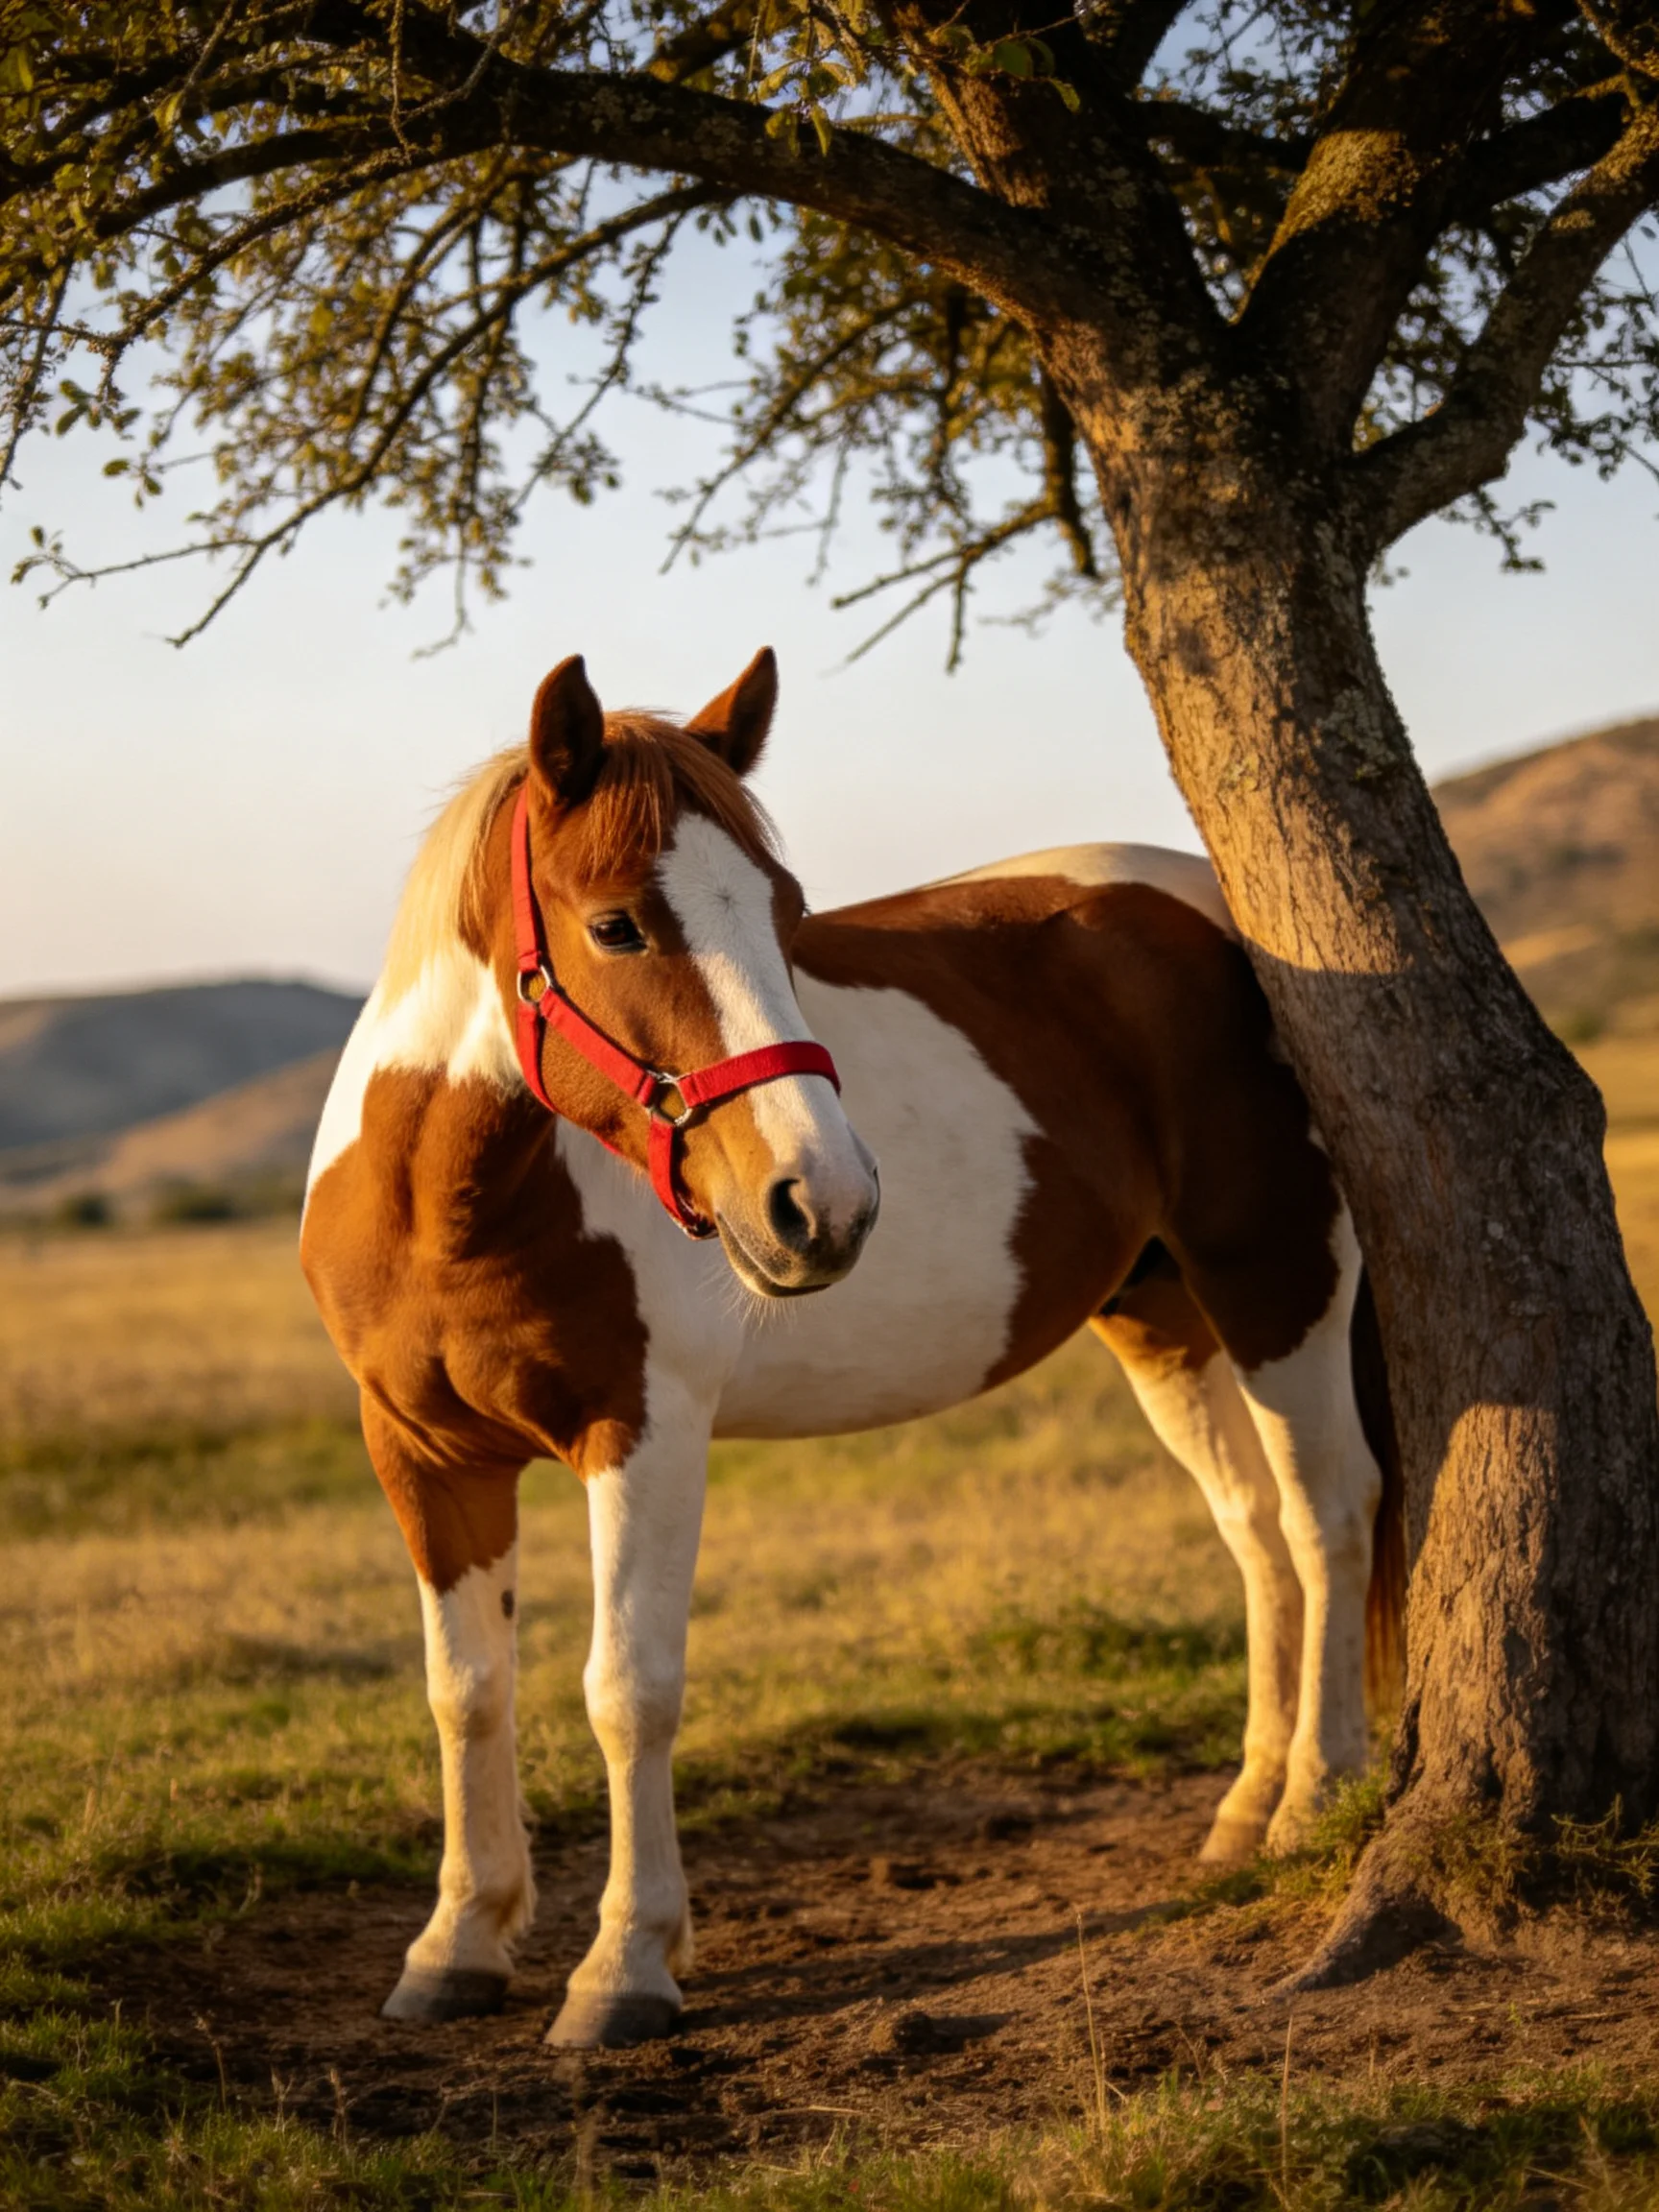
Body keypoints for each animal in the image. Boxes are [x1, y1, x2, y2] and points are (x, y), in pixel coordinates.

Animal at [300, 648, 1402, 2050]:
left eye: (786, 915)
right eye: (616, 925)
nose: (821, 1202)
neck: (449, 1206)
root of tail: (1226, 914)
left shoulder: (644, 1437)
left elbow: (628, 1689)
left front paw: (626, 1966)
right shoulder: (424, 1457)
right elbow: (467, 1688)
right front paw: (459, 1944)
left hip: (1277, 1281)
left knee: (1329, 1513)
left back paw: (1314, 1799)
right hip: (1163, 1320)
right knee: (1257, 1533)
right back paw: (1246, 1812)